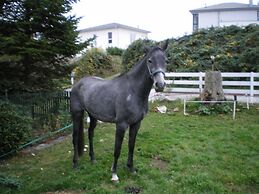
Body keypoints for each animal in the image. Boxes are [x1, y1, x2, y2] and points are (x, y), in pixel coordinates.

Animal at [70, 39, 170, 182]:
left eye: (165, 60)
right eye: (150, 60)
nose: (160, 85)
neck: (133, 91)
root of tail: (77, 84)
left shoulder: (136, 124)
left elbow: (131, 146)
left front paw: (131, 169)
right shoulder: (121, 125)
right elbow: (117, 149)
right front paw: (114, 174)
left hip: (93, 116)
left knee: (90, 134)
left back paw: (93, 159)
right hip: (77, 114)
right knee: (75, 137)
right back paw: (75, 164)